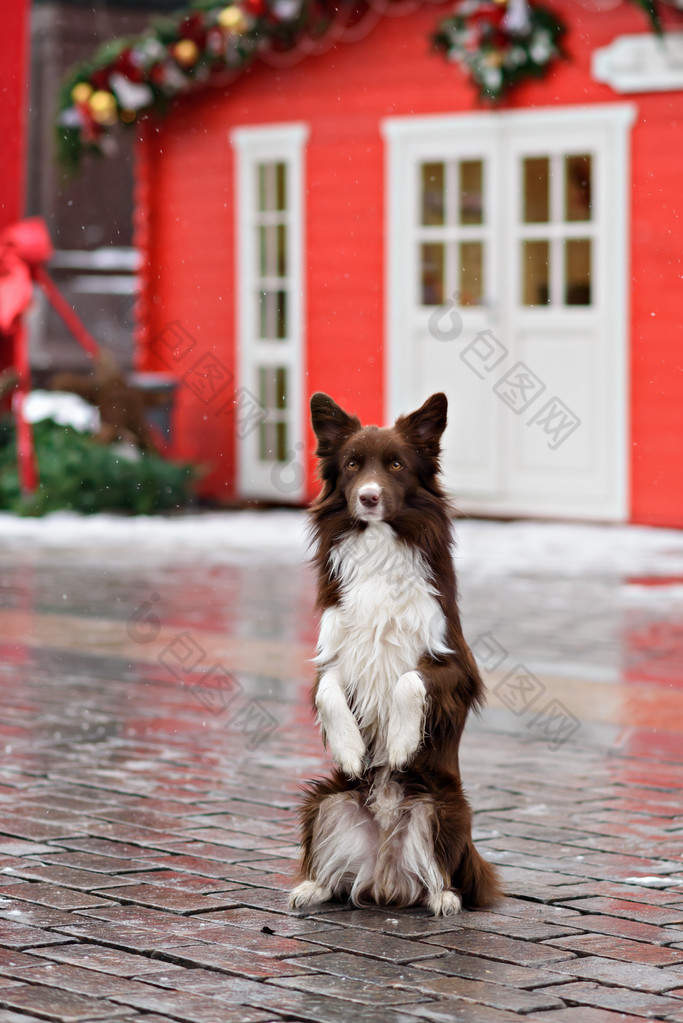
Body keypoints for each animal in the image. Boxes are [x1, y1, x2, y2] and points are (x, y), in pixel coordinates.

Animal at [288, 392, 501, 920]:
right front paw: (350, 748)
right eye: (351, 465)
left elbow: (410, 680)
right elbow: (327, 692)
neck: (379, 544)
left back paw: (444, 897)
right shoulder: (330, 652)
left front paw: (402, 744)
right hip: (328, 801)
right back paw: (311, 887)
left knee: (443, 874)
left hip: (443, 808)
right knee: (334, 875)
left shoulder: (458, 664)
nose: (367, 496)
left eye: (397, 465)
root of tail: (385, 873)